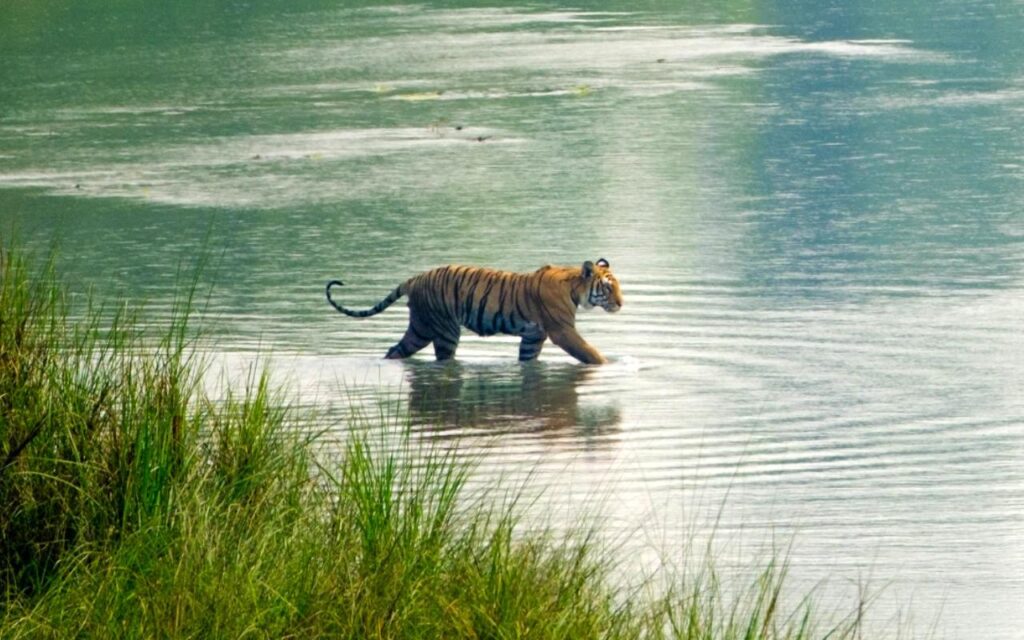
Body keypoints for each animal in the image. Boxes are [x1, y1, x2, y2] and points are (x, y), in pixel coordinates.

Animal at [325, 258, 621, 364]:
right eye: (608, 288)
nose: (620, 304)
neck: (575, 288)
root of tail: (414, 278)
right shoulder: (562, 331)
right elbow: (590, 352)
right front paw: (609, 365)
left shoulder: (533, 336)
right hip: (443, 330)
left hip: (419, 329)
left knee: (394, 351)